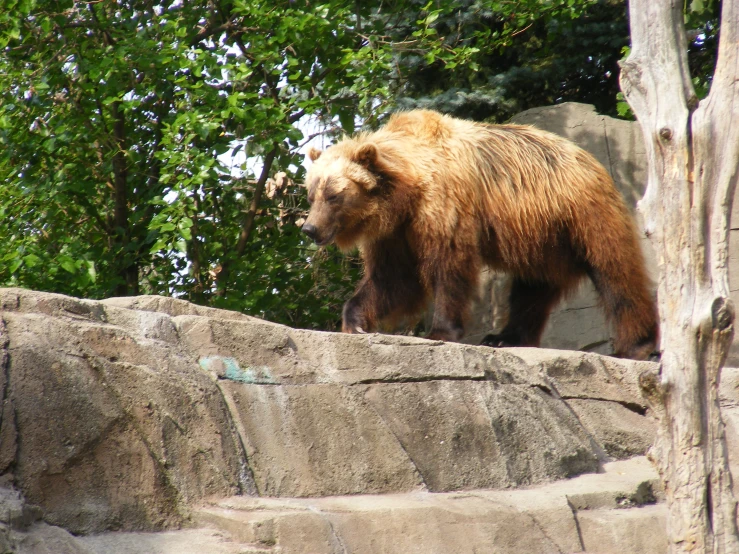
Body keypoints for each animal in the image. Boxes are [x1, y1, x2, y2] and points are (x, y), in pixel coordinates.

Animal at [300, 109, 660, 358]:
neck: (407, 192)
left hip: (581, 213)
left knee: (614, 270)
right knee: (532, 288)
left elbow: (448, 265)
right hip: (542, 238)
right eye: (312, 193)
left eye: (334, 194)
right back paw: (506, 336)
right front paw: (355, 321)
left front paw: (440, 330)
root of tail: (587, 156)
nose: (309, 228)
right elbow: (392, 279)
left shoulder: (443, 205)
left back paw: (636, 345)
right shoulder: (395, 234)